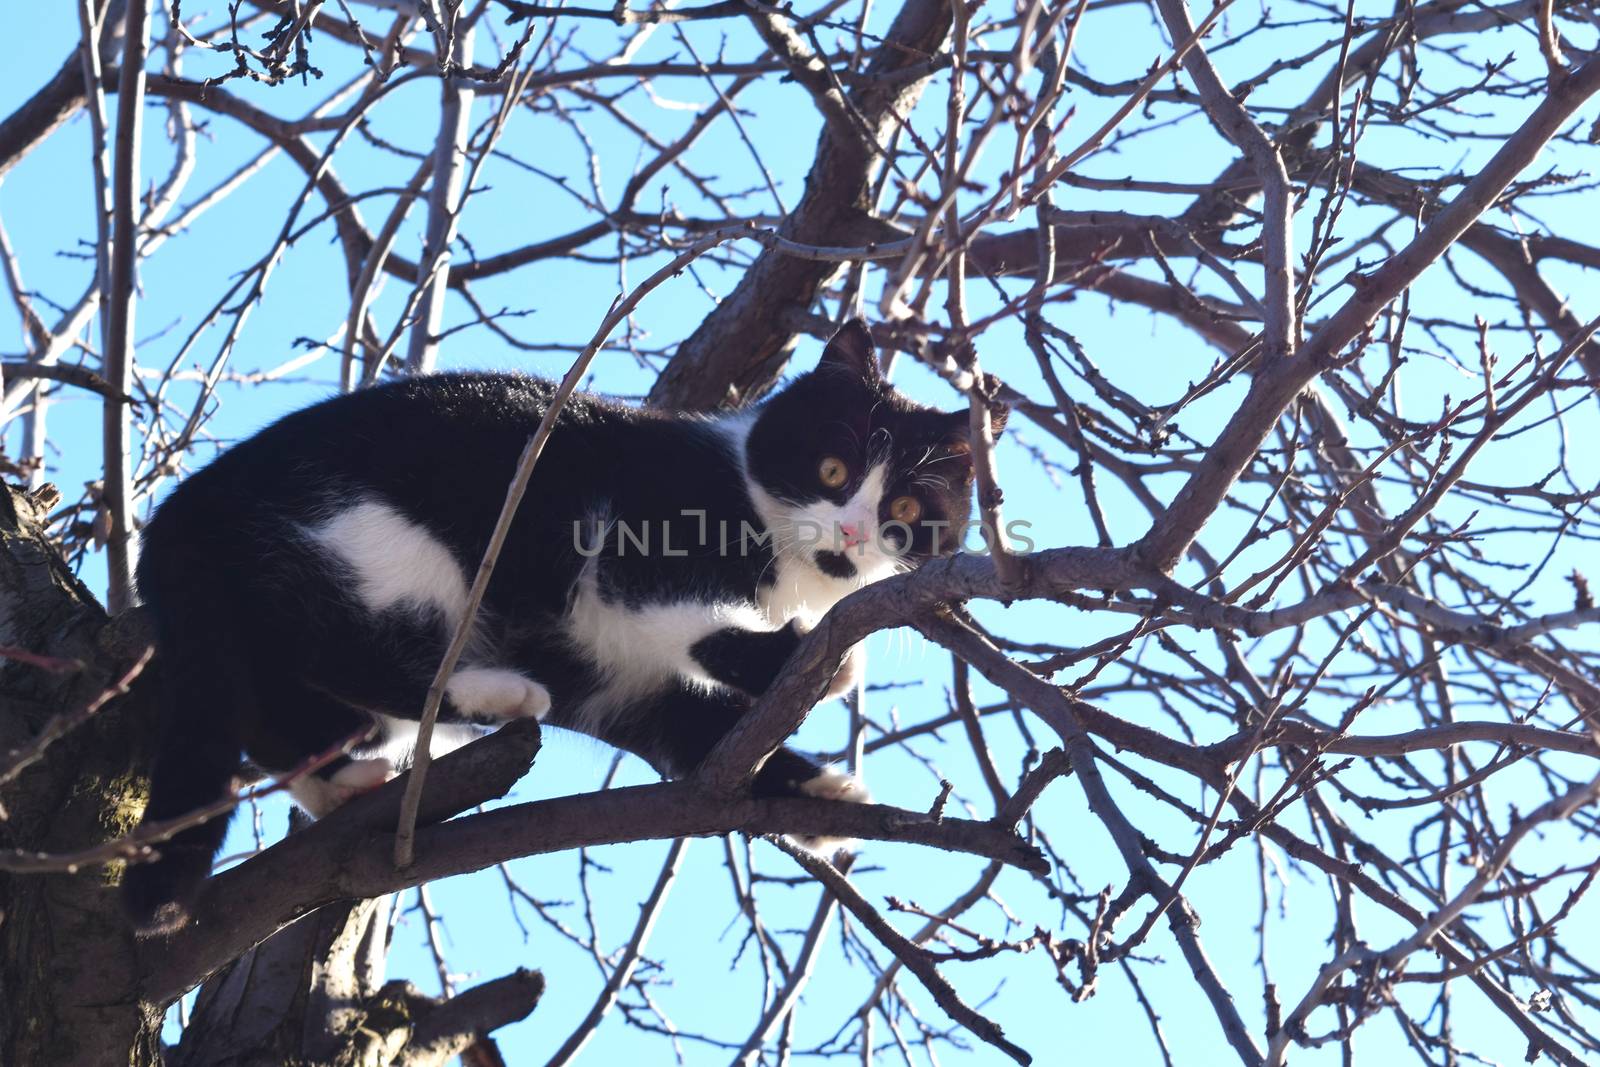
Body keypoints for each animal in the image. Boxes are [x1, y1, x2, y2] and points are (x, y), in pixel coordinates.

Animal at [121, 321, 998, 927]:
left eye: (906, 510)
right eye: (832, 469)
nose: (851, 533)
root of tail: (183, 512)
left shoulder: (625, 688)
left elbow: (694, 732)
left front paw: (818, 788)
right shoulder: (630, 537)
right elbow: (674, 608)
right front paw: (803, 663)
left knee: (274, 700)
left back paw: (344, 777)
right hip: (396, 536)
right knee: (332, 641)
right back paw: (495, 691)